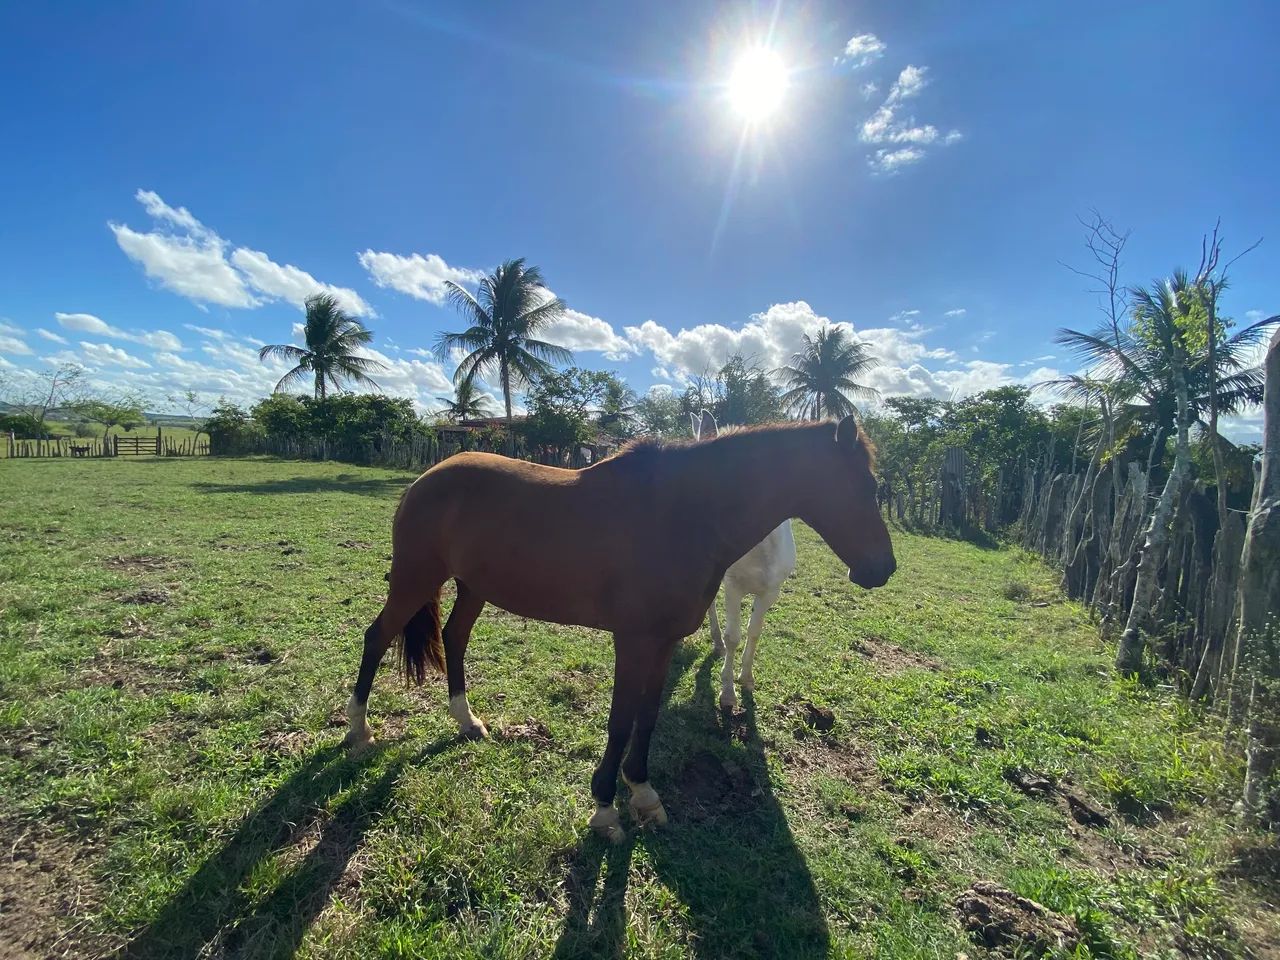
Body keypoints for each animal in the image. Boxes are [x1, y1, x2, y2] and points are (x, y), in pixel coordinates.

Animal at [689, 411, 798, 710]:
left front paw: (747, 679)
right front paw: (727, 693)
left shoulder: (771, 591)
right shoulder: (733, 586)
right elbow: (733, 636)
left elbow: (754, 631)